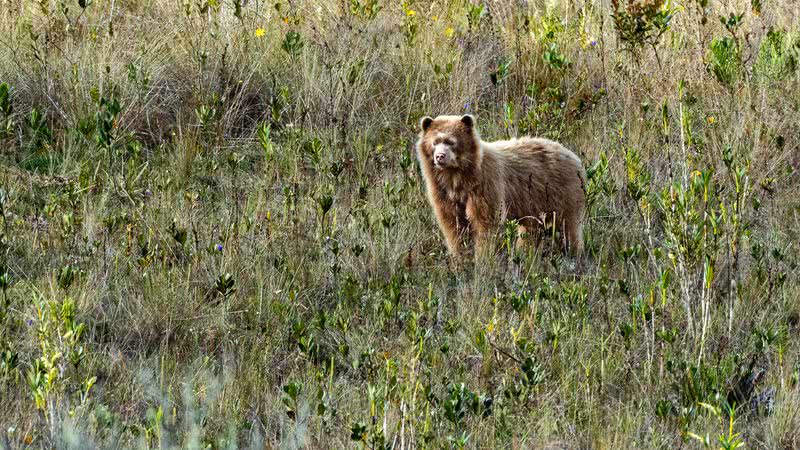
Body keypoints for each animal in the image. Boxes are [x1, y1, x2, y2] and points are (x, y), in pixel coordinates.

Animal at [416, 114, 584, 262]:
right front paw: (460, 257)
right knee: (531, 232)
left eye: (451, 142)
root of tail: (573, 155)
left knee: (568, 227)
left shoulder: (485, 185)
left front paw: (483, 257)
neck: (457, 177)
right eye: (435, 142)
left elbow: (485, 222)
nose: (440, 156)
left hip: (562, 193)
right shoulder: (443, 193)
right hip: (536, 204)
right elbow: (453, 224)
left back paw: (574, 254)